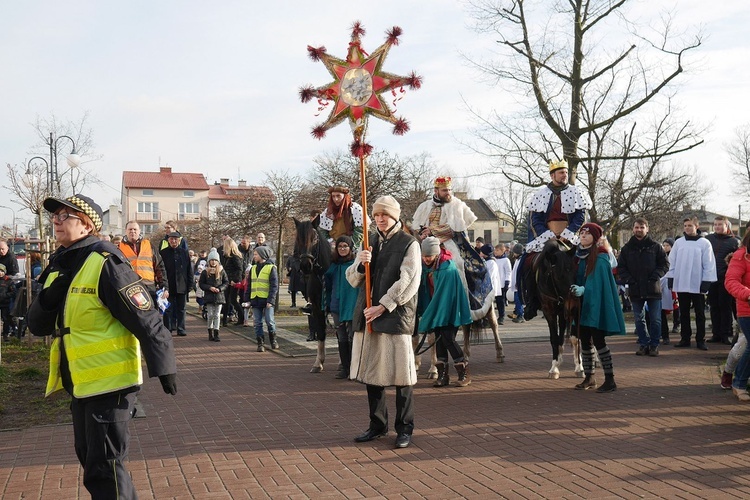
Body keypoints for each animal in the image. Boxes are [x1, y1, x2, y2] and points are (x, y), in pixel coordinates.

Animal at [528, 240, 580, 376]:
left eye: (574, 271)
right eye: (558, 276)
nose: (574, 299)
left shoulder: (569, 311)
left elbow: (574, 337)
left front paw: (579, 366)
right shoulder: (549, 311)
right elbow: (555, 338)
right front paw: (555, 367)